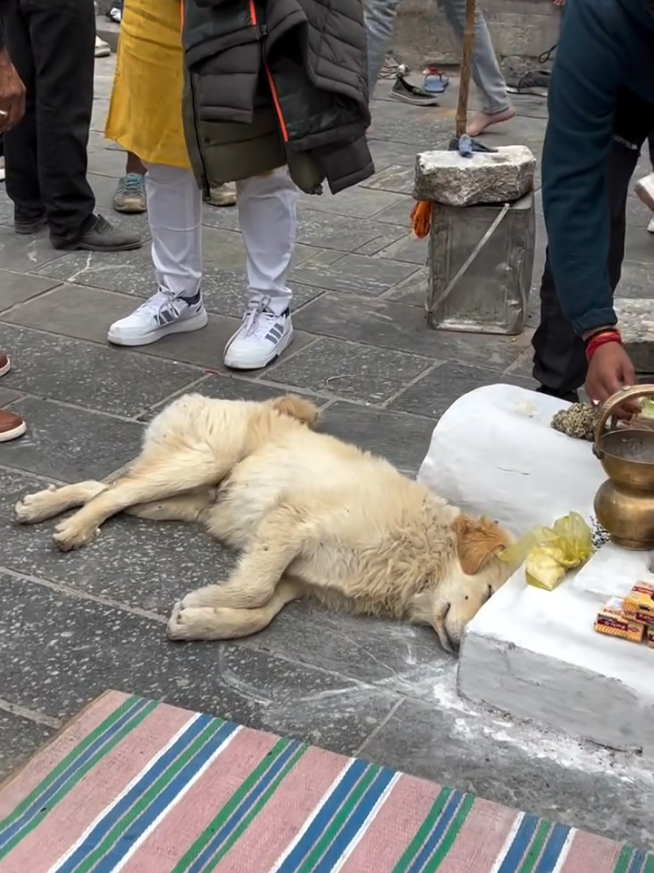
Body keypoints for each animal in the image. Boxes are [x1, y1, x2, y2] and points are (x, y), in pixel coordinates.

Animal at [14, 392, 512, 652]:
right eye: (488, 592)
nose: (464, 648)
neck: (419, 554)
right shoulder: (289, 524)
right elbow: (253, 590)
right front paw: (202, 599)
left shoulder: (298, 581)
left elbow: (260, 616)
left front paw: (197, 622)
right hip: (202, 463)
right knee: (115, 492)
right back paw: (73, 529)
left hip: (182, 500)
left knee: (105, 488)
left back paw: (41, 505)